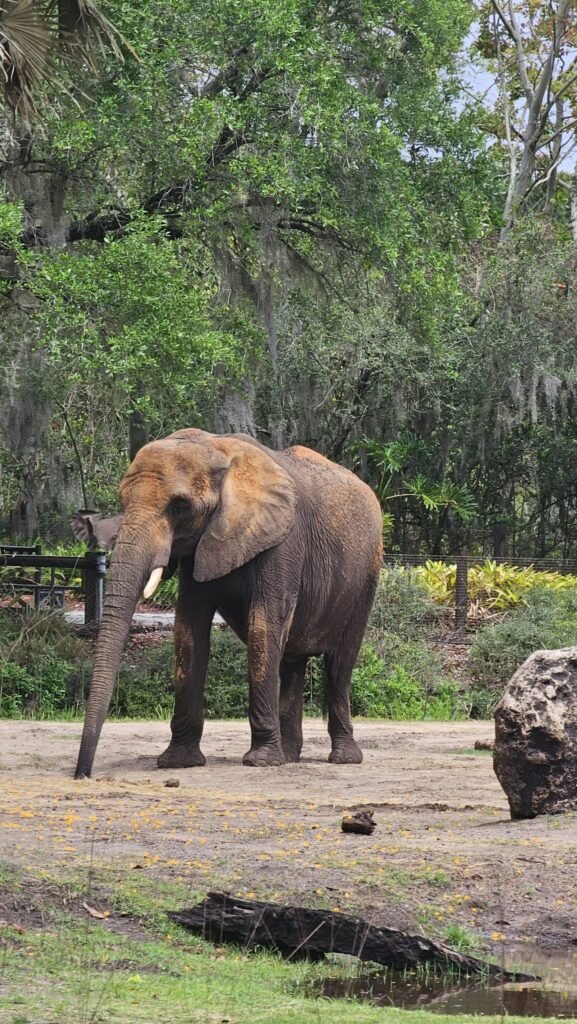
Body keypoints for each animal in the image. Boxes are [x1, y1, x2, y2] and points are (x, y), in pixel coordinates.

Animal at [72, 429, 383, 778]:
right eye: (124, 502)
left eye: (179, 507)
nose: (82, 774)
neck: (217, 448)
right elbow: (189, 630)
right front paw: (178, 762)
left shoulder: (283, 542)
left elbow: (264, 625)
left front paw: (261, 762)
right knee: (292, 663)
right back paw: (290, 755)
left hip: (366, 576)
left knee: (339, 664)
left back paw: (343, 758)